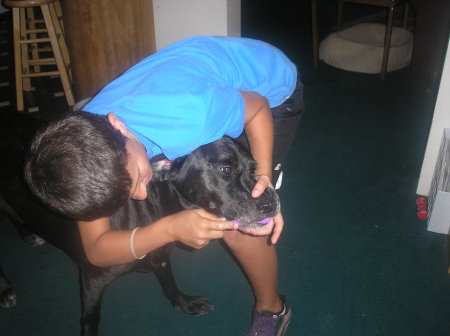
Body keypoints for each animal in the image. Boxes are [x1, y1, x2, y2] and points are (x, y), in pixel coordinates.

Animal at [0, 111, 280, 334]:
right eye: (225, 169)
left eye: (254, 168)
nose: (272, 203)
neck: (155, 207)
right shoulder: (91, 279)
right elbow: (90, 319)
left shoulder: (161, 255)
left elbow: (168, 282)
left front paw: (183, 303)